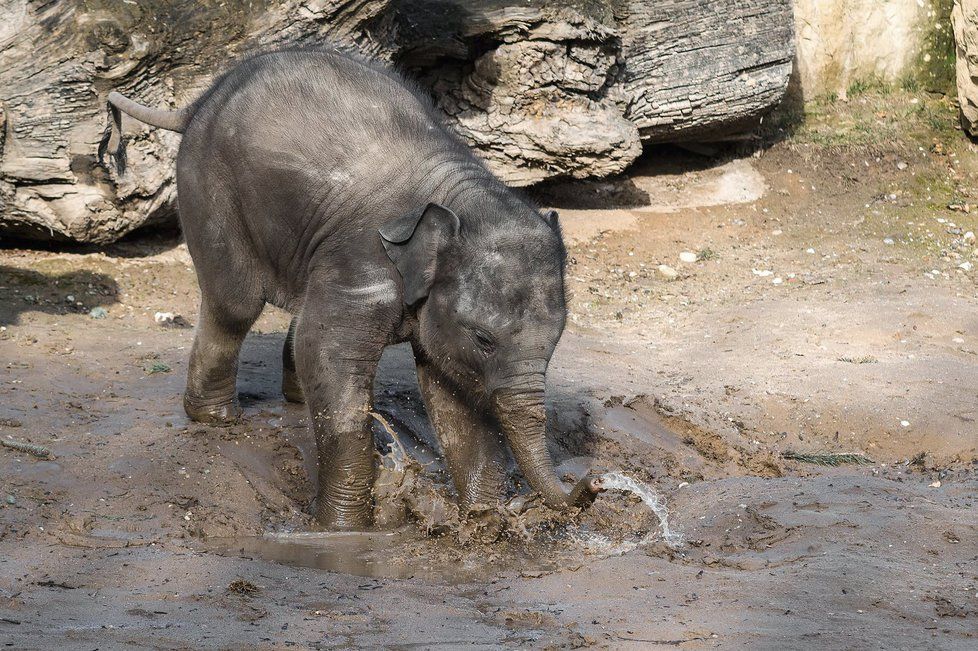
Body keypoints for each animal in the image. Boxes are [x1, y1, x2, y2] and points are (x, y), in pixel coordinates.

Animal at [101, 47, 604, 528]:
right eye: (484, 338)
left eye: (556, 341)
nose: (595, 482)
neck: (458, 196)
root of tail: (200, 101)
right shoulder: (362, 260)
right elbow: (327, 350)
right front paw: (342, 528)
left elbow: (450, 390)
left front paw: (484, 522)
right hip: (210, 187)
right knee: (234, 304)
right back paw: (217, 418)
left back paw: (293, 400)